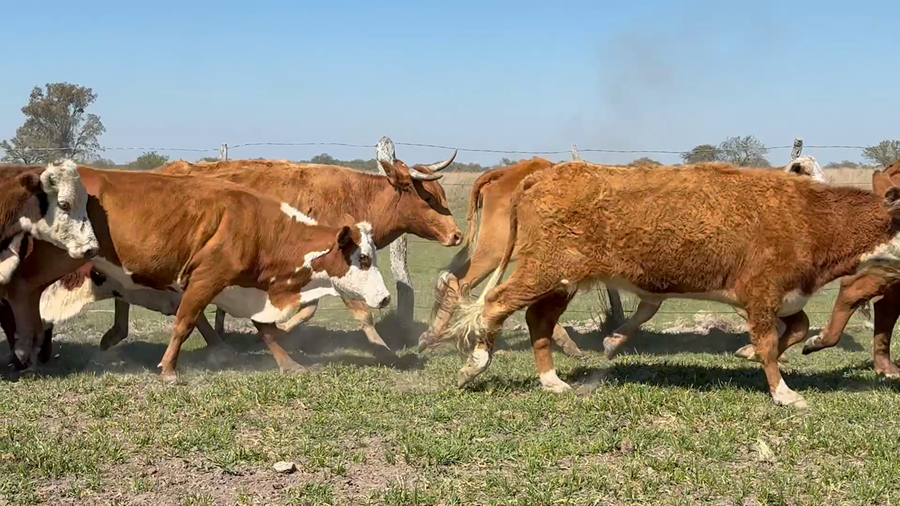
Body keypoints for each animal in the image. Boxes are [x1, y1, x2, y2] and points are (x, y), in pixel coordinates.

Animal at [3, 164, 390, 378]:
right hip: (62, 256)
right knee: (20, 288)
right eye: (363, 258)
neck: (258, 225)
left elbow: (267, 331)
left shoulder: (246, 287)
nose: (385, 298)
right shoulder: (206, 278)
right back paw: (25, 350)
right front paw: (169, 370)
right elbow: (185, 323)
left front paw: (289, 364)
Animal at [441, 161, 900, 409]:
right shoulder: (761, 293)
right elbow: (772, 344)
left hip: (561, 279)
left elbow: (800, 328)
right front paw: (783, 392)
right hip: (544, 269)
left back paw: (552, 380)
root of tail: (545, 175)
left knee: (538, 320)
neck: (811, 216)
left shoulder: (783, 296)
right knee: (495, 304)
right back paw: (473, 366)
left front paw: (749, 353)